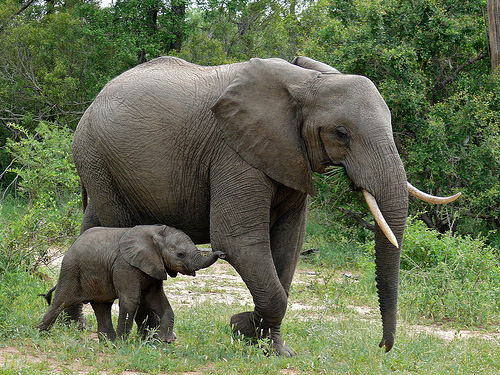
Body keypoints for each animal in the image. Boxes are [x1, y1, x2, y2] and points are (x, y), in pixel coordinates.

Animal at [38, 225, 226, 346]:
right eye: (180, 254)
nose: (222, 253)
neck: (155, 233)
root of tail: (73, 244)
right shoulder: (125, 265)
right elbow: (131, 300)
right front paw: (123, 344)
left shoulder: (153, 267)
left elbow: (158, 300)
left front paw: (165, 340)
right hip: (71, 270)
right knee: (60, 301)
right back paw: (40, 333)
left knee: (102, 306)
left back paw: (108, 343)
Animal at [72, 55, 458, 356]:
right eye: (341, 133)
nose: (382, 348)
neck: (307, 82)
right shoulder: (234, 153)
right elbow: (237, 240)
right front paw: (241, 327)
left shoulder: (290, 156)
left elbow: (288, 245)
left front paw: (271, 348)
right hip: (99, 158)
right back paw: (143, 338)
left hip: (99, 165)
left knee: (92, 229)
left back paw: (74, 327)